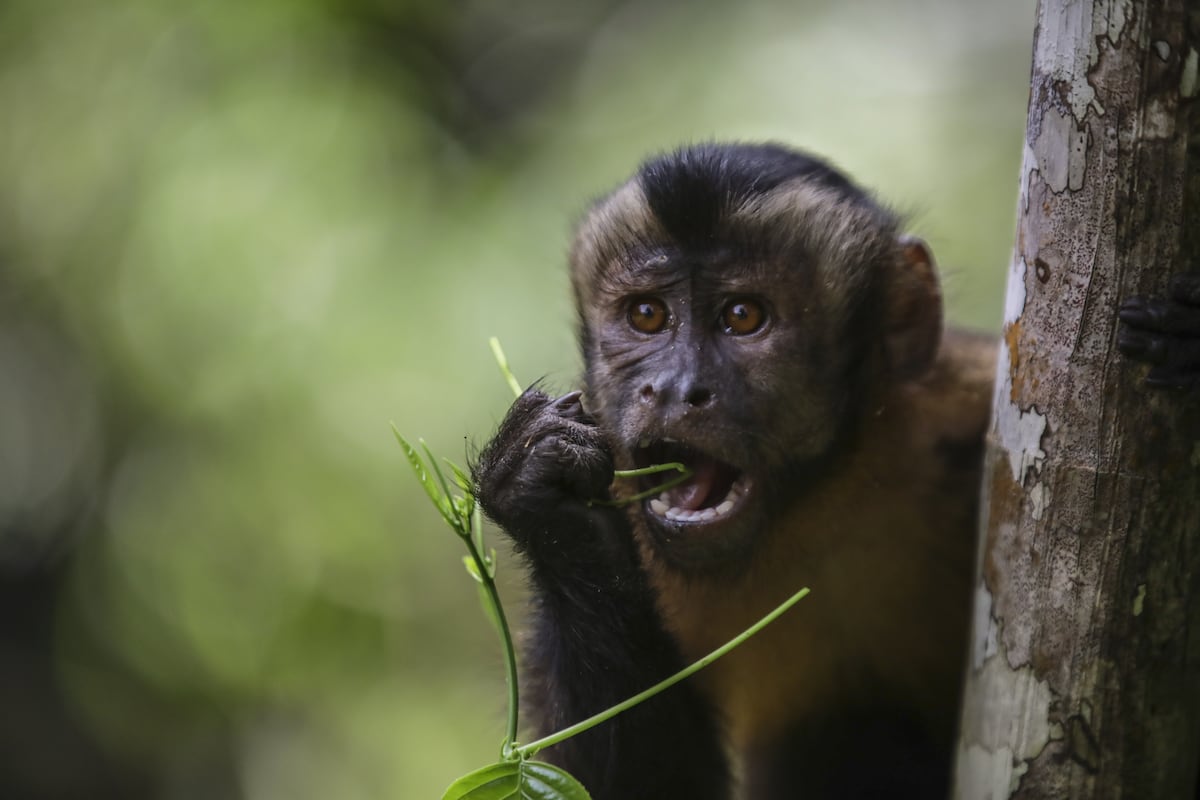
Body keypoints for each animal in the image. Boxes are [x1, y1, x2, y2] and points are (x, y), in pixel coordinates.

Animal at [468, 140, 1200, 796]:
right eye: (647, 315)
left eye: (743, 316)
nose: (674, 388)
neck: (814, 502)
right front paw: (553, 506)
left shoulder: (961, 408)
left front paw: (1188, 343)